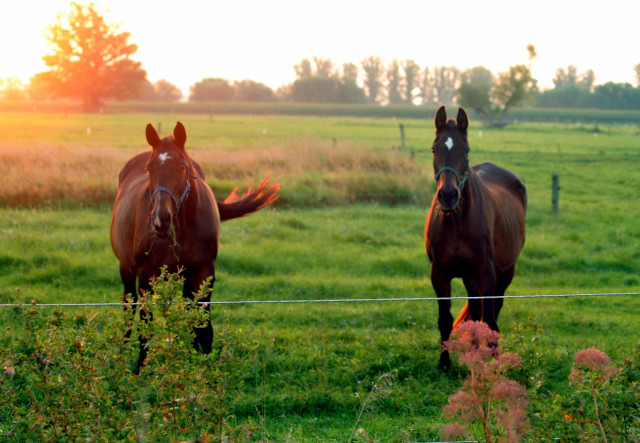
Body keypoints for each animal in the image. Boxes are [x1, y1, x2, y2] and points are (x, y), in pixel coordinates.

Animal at [110, 122, 280, 374]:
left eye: (182, 166)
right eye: (149, 168)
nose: (160, 220)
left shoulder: (203, 272)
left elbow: (203, 327)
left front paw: (204, 368)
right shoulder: (145, 276)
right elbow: (145, 326)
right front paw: (139, 369)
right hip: (127, 270)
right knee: (128, 309)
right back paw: (121, 352)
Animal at [424, 106, 524, 370]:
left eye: (466, 149)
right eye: (434, 149)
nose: (448, 195)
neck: (457, 223)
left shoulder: (486, 273)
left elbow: (489, 320)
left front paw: (494, 365)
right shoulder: (439, 274)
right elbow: (445, 319)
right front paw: (444, 363)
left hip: (505, 272)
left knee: (492, 310)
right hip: (469, 277)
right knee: (476, 309)